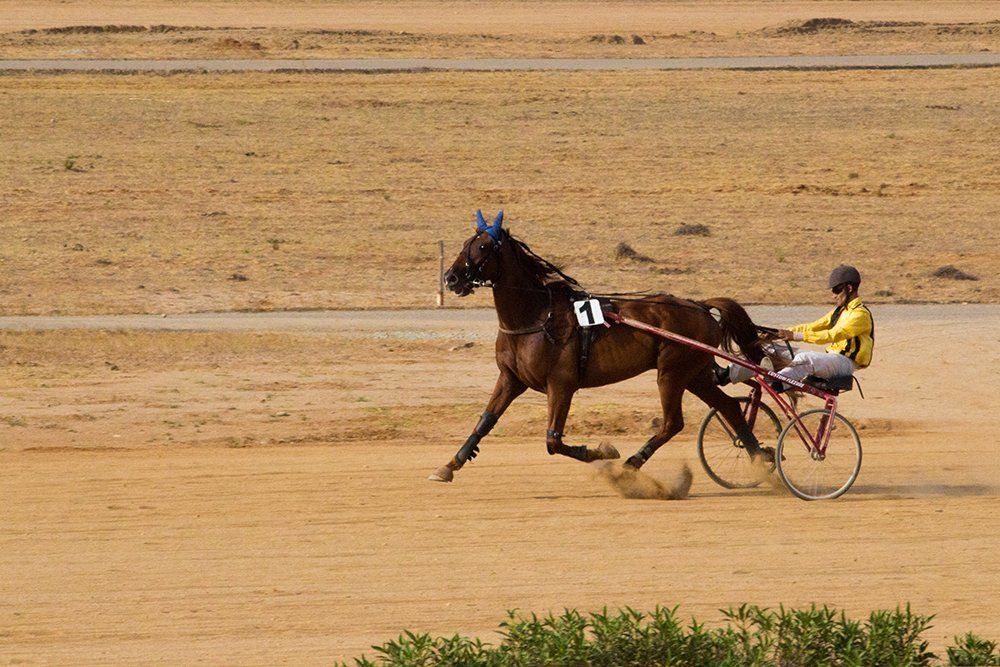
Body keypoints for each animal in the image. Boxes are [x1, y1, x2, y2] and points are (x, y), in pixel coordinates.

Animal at [428, 210, 771, 483]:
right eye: (464, 244)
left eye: (483, 247)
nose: (451, 278)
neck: (536, 317)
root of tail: (699, 306)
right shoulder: (510, 379)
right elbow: (486, 421)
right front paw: (450, 464)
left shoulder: (561, 384)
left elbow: (553, 441)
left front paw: (602, 451)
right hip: (694, 373)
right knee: (728, 407)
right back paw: (759, 458)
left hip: (672, 373)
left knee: (674, 422)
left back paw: (632, 463)